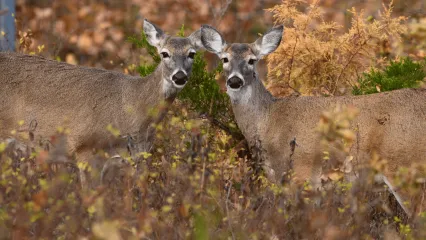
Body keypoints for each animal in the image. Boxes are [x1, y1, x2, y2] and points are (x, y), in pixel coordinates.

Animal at [201, 24, 426, 216]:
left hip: (404, 167)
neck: (267, 121)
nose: (234, 81)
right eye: (224, 59)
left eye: (251, 60)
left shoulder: (302, 173)